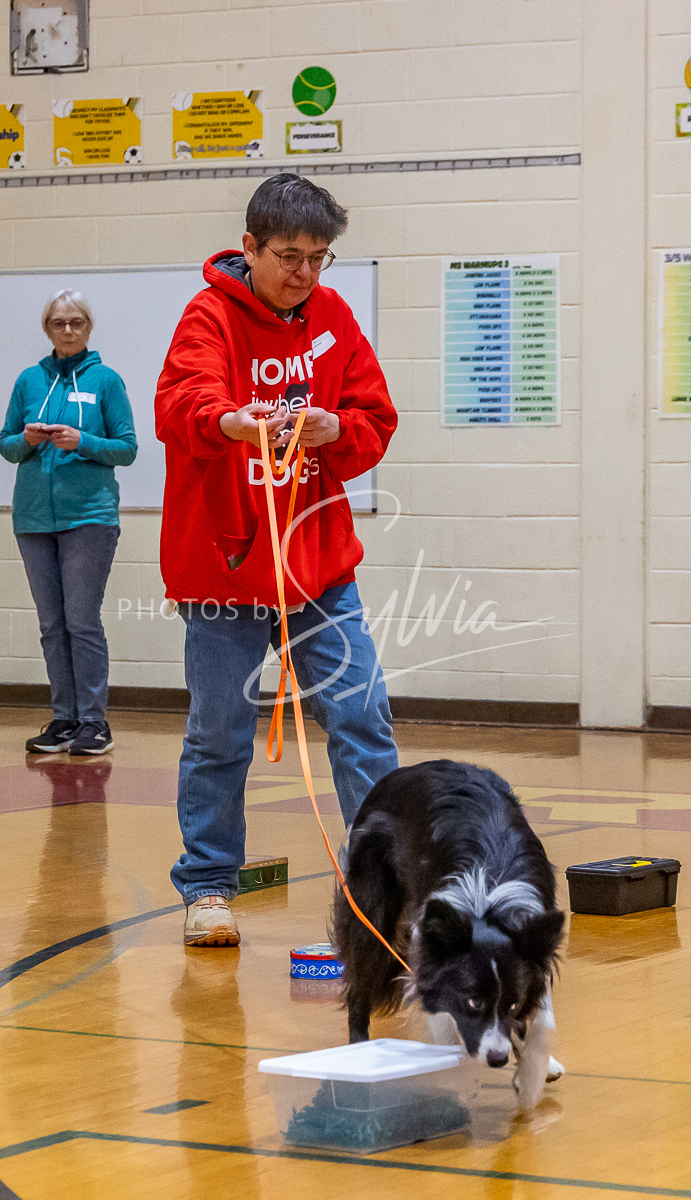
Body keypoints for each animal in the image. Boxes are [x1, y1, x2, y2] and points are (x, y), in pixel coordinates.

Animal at [332, 760, 565, 1109]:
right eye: (473, 1002)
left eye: (512, 1005)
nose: (497, 1059)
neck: (486, 903)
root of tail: (408, 770)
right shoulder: (428, 950)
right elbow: (445, 1017)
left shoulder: (536, 946)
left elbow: (541, 1021)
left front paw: (530, 1077)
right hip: (370, 910)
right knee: (359, 987)